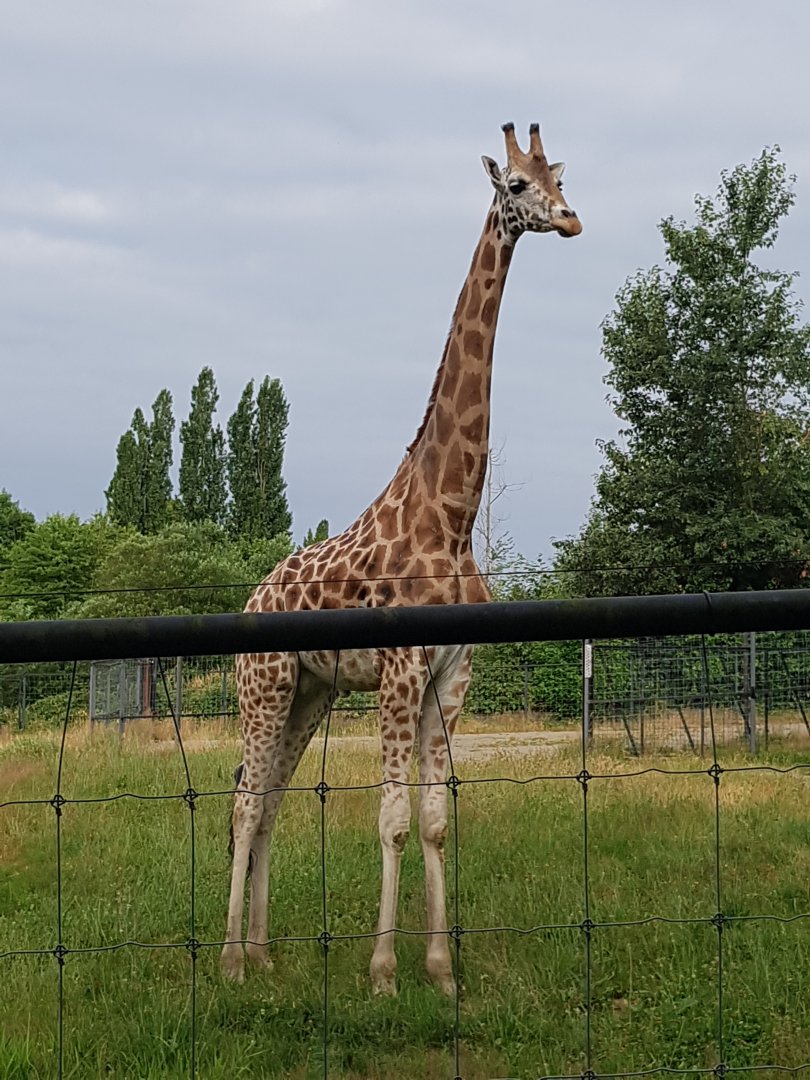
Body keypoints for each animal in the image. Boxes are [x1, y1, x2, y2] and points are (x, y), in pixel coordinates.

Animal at [221, 122, 582, 996]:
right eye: (515, 185)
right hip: (263, 687)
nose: (570, 219)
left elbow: (435, 819)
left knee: (270, 799)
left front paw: (442, 969)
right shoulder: (400, 670)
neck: (450, 517)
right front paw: (384, 971)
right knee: (246, 802)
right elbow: (387, 816)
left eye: (560, 176)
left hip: (308, 694)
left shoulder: (451, 677)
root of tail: (251, 600)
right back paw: (230, 963)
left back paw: (264, 953)